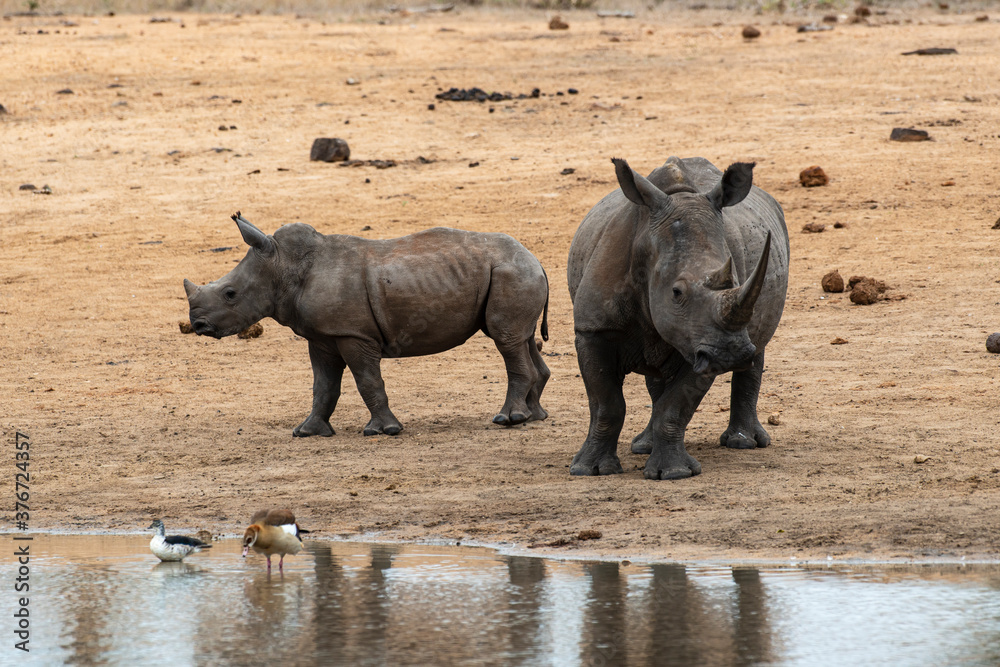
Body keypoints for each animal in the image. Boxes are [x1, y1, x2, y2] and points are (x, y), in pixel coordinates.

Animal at [184, 213, 550, 437]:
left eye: (230, 294)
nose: (198, 324)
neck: (282, 266)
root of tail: (536, 259)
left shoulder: (352, 333)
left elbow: (367, 380)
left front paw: (383, 431)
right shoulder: (323, 336)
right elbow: (323, 385)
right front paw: (307, 432)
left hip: (511, 272)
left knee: (505, 340)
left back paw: (509, 419)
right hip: (513, 273)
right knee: (522, 337)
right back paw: (535, 416)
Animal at [567, 157, 789, 480]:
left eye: (735, 281)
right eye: (676, 292)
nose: (731, 355)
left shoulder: (702, 343)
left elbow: (676, 406)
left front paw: (672, 473)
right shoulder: (593, 328)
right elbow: (606, 403)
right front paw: (589, 470)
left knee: (758, 344)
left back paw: (744, 443)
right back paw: (642, 446)